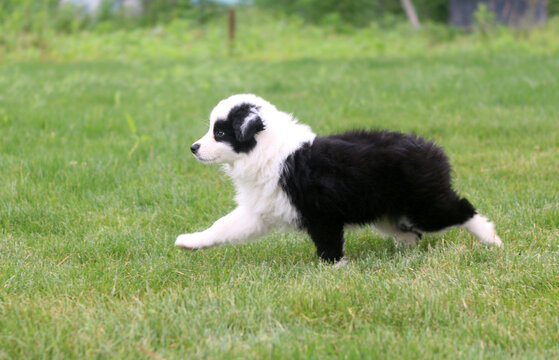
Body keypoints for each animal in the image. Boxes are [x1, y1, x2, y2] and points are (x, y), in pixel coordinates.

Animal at [176, 94, 504, 262]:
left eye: (220, 133)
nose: (193, 148)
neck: (269, 150)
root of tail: (430, 147)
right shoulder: (261, 208)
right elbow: (223, 226)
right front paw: (190, 241)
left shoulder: (322, 212)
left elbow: (328, 245)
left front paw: (333, 270)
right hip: (387, 213)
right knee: (411, 234)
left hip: (423, 204)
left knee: (462, 208)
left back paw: (492, 239)